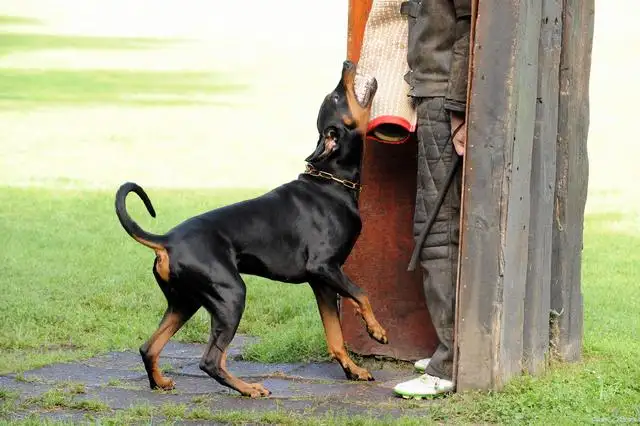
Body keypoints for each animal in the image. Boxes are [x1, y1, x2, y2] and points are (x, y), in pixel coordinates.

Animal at [114, 60, 384, 400]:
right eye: (335, 97)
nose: (347, 63)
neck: (331, 182)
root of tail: (166, 241)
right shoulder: (324, 267)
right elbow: (362, 294)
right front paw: (377, 330)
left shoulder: (322, 282)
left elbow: (335, 337)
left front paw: (354, 370)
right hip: (230, 295)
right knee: (210, 361)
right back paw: (249, 388)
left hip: (184, 302)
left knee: (148, 347)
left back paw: (161, 383)